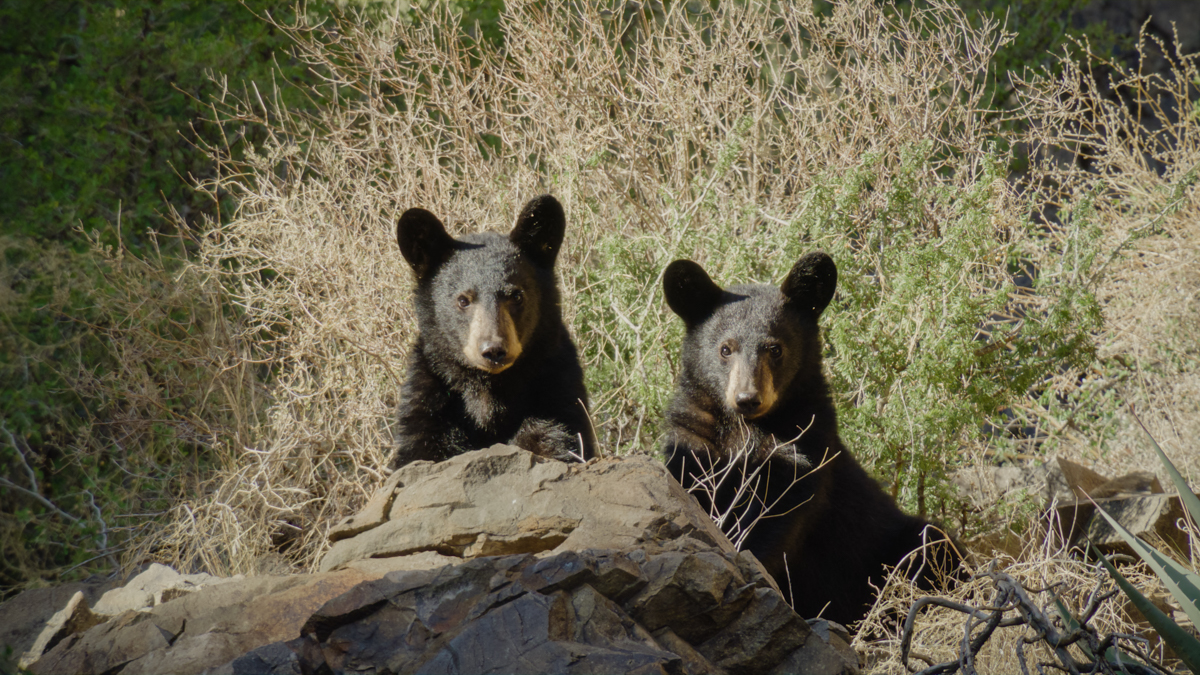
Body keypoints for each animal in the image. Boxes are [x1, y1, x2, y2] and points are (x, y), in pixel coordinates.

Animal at [391, 193, 597, 468]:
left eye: (516, 295)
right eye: (463, 300)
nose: (494, 350)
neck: (488, 389)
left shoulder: (556, 383)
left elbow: (560, 434)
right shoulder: (429, 394)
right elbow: (419, 447)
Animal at [662, 249, 960, 624]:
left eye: (775, 349)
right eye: (725, 349)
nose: (748, 398)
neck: (745, 429)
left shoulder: (805, 452)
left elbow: (778, 522)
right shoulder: (693, 440)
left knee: (933, 545)